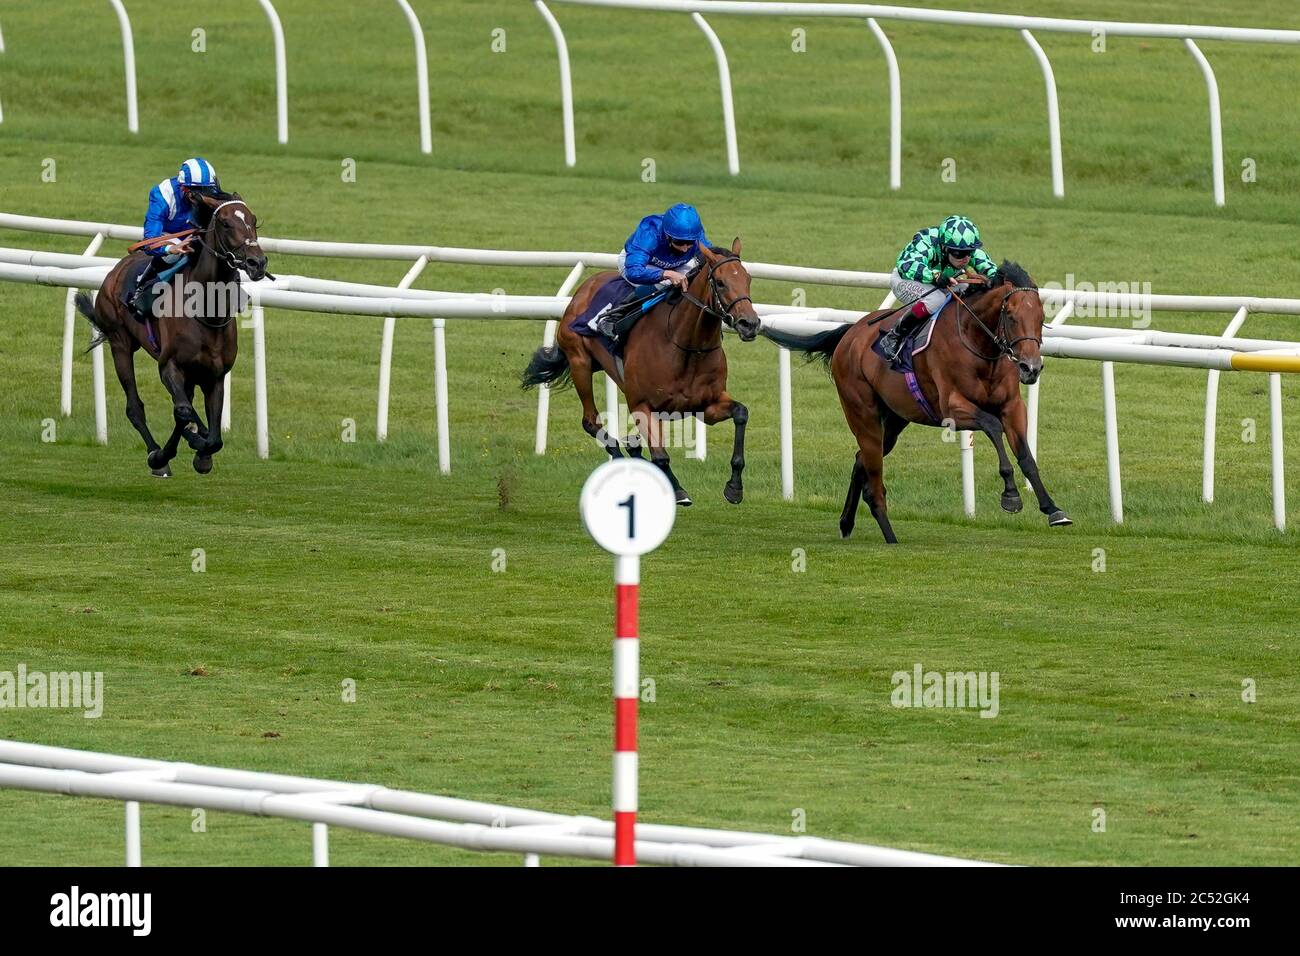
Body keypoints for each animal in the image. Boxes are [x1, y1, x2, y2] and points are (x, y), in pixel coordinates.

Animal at [76, 195, 269, 478]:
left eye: (254, 221)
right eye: (225, 224)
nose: (258, 263)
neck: (206, 310)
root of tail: (116, 270)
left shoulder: (215, 376)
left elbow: (213, 436)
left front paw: (202, 453)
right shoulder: (169, 365)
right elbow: (183, 412)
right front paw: (172, 450)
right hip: (120, 343)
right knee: (135, 407)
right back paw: (157, 455)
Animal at [520, 239, 759, 504]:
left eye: (748, 279)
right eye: (720, 282)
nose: (750, 324)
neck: (686, 346)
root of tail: (585, 288)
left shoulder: (707, 406)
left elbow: (741, 413)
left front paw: (734, 487)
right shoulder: (641, 405)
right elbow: (661, 456)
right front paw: (678, 490)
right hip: (579, 362)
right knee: (590, 421)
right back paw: (620, 456)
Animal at [759, 261, 1066, 541]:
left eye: (1040, 316)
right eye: (1011, 316)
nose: (1031, 368)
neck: (979, 346)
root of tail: (850, 333)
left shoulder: (1012, 406)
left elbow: (1026, 455)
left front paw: (1052, 509)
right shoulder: (952, 409)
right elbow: (992, 425)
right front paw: (1011, 495)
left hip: (894, 420)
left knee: (861, 460)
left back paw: (846, 523)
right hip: (862, 413)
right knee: (874, 480)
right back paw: (890, 537)